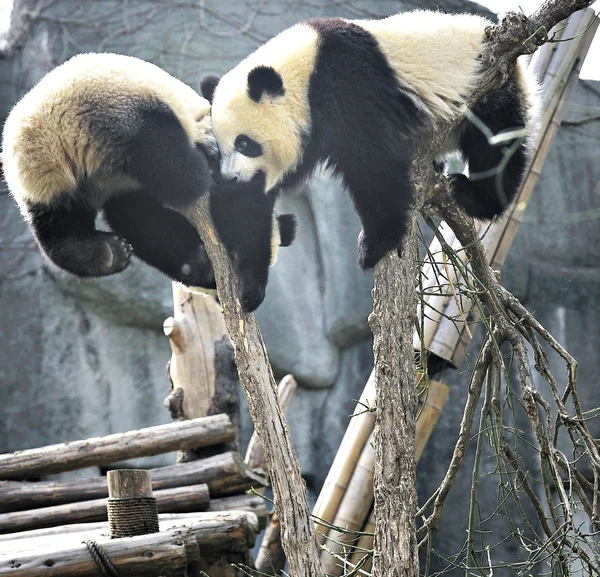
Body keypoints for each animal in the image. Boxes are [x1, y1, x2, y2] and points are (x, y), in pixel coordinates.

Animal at [2, 54, 296, 312]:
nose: (217, 298)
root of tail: (44, 132)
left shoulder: (126, 190)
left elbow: (147, 223)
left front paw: (194, 264)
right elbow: (243, 213)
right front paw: (249, 287)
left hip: (45, 187)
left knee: (59, 226)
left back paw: (107, 253)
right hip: (121, 110)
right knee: (172, 163)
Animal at [200, 9, 540, 270]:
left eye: (245, 144)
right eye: (221, 150)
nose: (231, 178)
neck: (305, 70)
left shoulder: (350, 84)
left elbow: (374, 165)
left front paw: (375, 245)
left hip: (492, 89)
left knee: (494, 145)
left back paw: (474, 195)